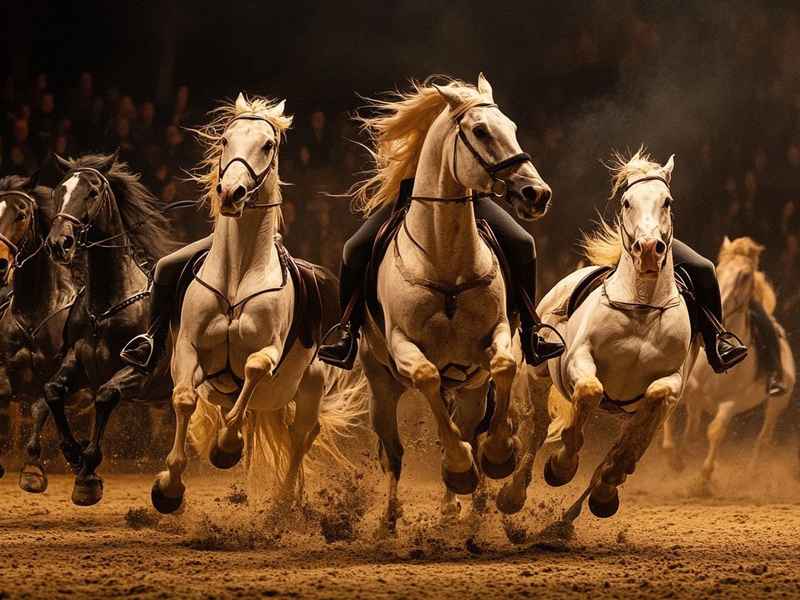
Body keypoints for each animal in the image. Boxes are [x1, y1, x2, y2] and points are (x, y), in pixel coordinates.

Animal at [44, 151, 174, 506]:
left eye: (92, 192)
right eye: (59, 191)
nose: (59, 243)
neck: (105, 309)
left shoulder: (141, 372)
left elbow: (105, 396)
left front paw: (87, 475)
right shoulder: (79, 361)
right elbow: (52, 391)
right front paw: (73, 454)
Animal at [151, 94, 365, 514]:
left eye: (268, 145)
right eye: (224, 140)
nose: (230, 193)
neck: (237, 276)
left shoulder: (268, 350)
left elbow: (252, 368)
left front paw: (226, 447)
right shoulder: (188, 348)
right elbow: (184, 400)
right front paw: (168, 487)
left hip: (310, 387)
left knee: (301, 435)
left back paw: (283, 502)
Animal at [353, 75, 551, 531]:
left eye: (512, 127)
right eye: (480, 131)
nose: (537, 193)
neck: (446, 261)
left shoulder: (495, 337)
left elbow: (504, 366)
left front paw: (498, 455)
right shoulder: (404, 345)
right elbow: (426, 376)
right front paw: (460, 468)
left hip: (470, 389)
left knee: (466, 424)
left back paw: (455, 505)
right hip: (381, 390)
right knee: (394, 455)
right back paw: (390, 520)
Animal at [498, 149, 699, 520]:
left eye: (667, 201)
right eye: (627, 201)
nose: (648, 249)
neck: (642, 307)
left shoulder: (671, 384)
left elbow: (645, 417)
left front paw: (607, 486)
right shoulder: (580, 360)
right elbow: (590, 391)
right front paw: (561, 467)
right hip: (537, 376)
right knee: (536, 429)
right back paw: (513, 494)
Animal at [662, 236, 796, 491]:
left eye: (745, 275)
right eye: (720, 268)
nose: (719, 306)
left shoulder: (731, 402)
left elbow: (715, 432)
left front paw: (703, 478)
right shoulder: (687, 388)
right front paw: (675, 460)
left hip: (777, 404)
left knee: (763, 439)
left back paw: (750, 474)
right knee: (693, 424)